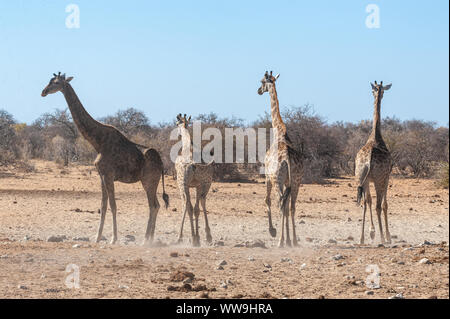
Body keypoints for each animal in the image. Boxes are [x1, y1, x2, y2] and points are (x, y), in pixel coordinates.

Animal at [174, 115, 214, 248]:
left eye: (176, 124)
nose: (178, 134)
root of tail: (193, 163)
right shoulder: (197, 185)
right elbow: (196, 208)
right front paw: (198, 237)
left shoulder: (183, 184)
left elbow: (185, 205)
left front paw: (190, 237)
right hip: (205, 184)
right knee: (200, 204)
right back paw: (204, 237)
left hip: (183, 184)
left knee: (188, 205)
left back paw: (185, 237)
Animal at [258, 72, 304, 248]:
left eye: (262, 81)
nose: (258, 90)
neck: (278, 131)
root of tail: (288, 160)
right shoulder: (289, 182)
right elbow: (288, 206)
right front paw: (289, 239)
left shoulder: (267, 176)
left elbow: (267, 200)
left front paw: (273, 231)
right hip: (296, 181)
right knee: (291, 206)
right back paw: (294, 241)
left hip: (277, 179)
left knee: (280, 203)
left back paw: (280, 241)